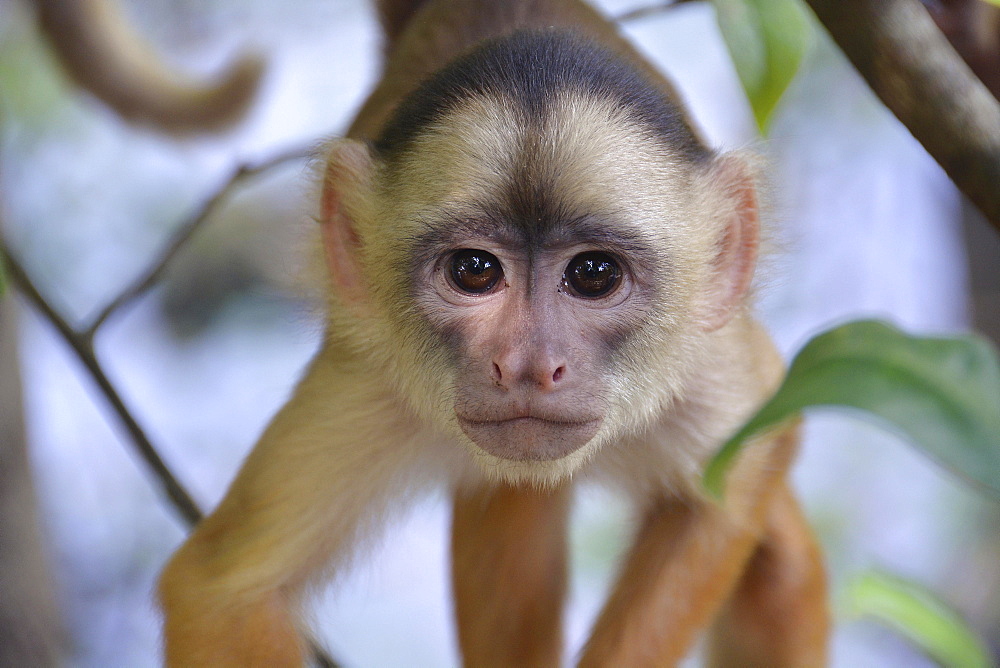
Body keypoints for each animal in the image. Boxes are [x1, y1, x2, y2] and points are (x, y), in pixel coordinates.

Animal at [158, 0, 828, 664]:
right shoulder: (369, 381)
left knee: (780, 573)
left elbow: (737, 477)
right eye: (474, 270)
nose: (528, 364)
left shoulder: (706, 361)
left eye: (594, 274)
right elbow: (222, 592)